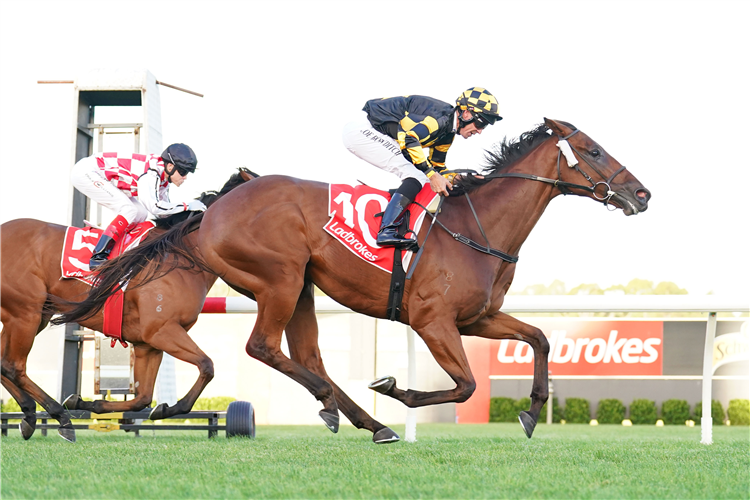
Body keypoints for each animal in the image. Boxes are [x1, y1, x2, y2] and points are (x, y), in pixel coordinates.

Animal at [0, 168, 258, 442]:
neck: (181, 254)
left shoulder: (148, 343)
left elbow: (142, 398)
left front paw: (89, 403)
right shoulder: (162, 331)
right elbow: (207, 366)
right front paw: (170, 407)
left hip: (30, 316)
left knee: (3, 363)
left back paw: (29, 415)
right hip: (26, 313)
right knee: (14, 366)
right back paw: (60, 417)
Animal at [57, 119, 652, 440]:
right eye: (594, 150)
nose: (642, 193)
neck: (475, 227)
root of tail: (216, 207)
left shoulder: (477, 318)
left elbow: (541, 338)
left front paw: (530, 411)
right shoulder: (433, 320)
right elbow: (464, 385)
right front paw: (396, 389)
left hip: (300, 288)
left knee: (306, 357)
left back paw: (361, 419)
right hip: (278, 279)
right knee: (263, 348)